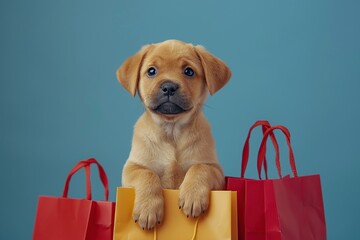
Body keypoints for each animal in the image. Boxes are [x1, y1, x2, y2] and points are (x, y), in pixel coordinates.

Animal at [116, 39, 232, 231]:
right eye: (152, 71)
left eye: (189, 71)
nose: (169, 87)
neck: (172, 131)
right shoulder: (132, 168)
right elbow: (147, 175)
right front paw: (148, 209)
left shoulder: (214, 168)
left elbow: (199, 168)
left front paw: (192, 196)